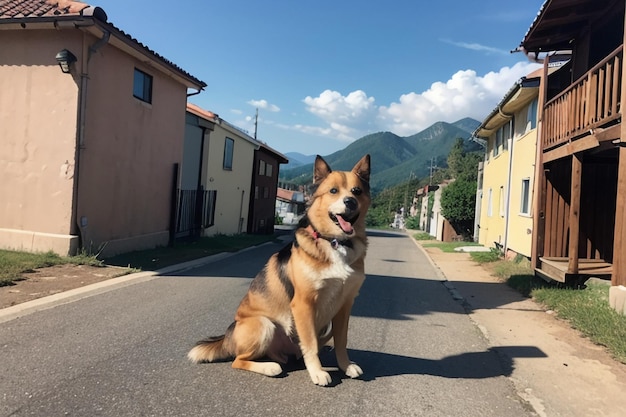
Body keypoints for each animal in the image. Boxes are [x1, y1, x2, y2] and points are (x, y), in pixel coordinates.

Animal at [186, 154, 370, 386]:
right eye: (333, 191)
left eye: (356, 191)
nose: (350, 201)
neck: (336, 242)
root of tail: (228, 336)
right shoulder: (303, 303)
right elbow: (310, 344)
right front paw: (317, 372)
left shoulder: (345, 305)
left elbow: (341, 341)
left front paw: (345, 366)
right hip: (264, 324)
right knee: (238, 360)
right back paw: (269, 367)